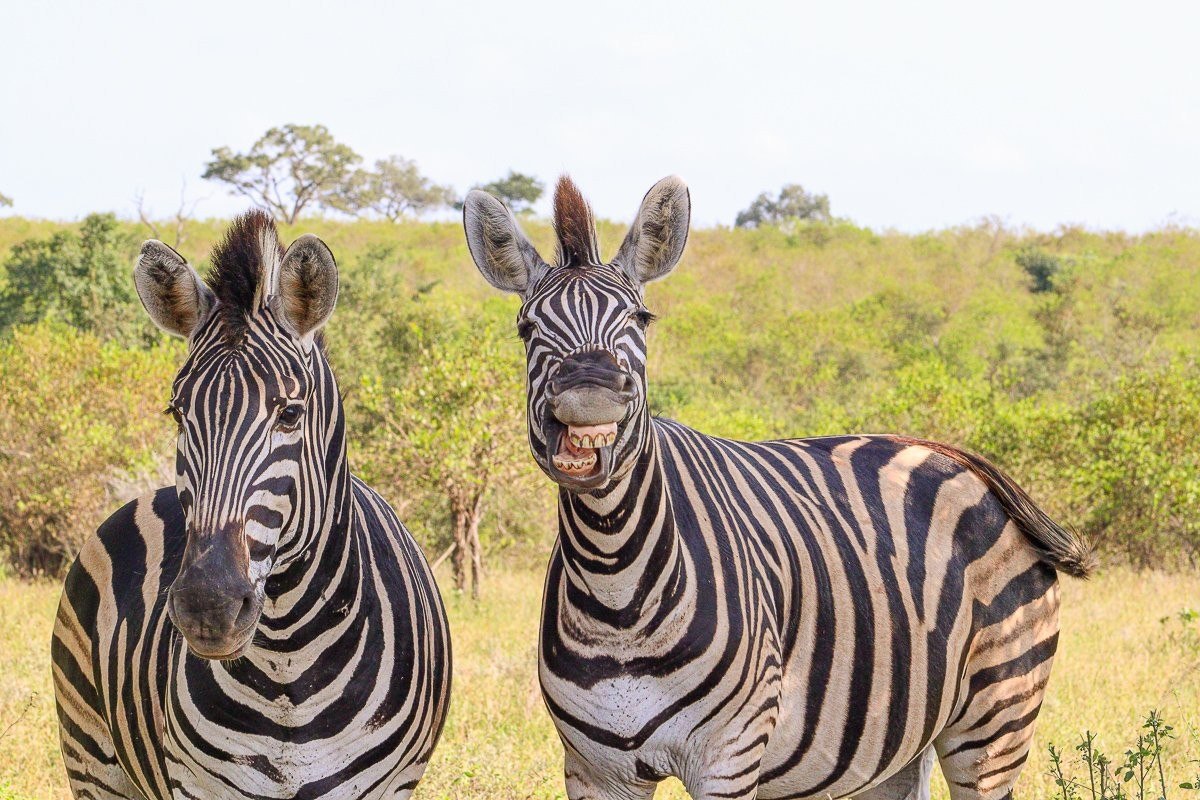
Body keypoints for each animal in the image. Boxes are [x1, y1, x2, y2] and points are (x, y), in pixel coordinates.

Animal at [51, 211, 452, 799]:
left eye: (290, 414)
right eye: (177, 414)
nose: (208, 608)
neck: (289, 662)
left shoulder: (386, 786)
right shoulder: (198, 786)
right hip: (91, 756)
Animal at [462, 176, 1095, 800]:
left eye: (641, 319)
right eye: (526, 328)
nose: (588, 396)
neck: (614, 583)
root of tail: (946, 453)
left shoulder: (729, 756)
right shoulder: (594, 769)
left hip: (997, 718)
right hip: (894, 743)